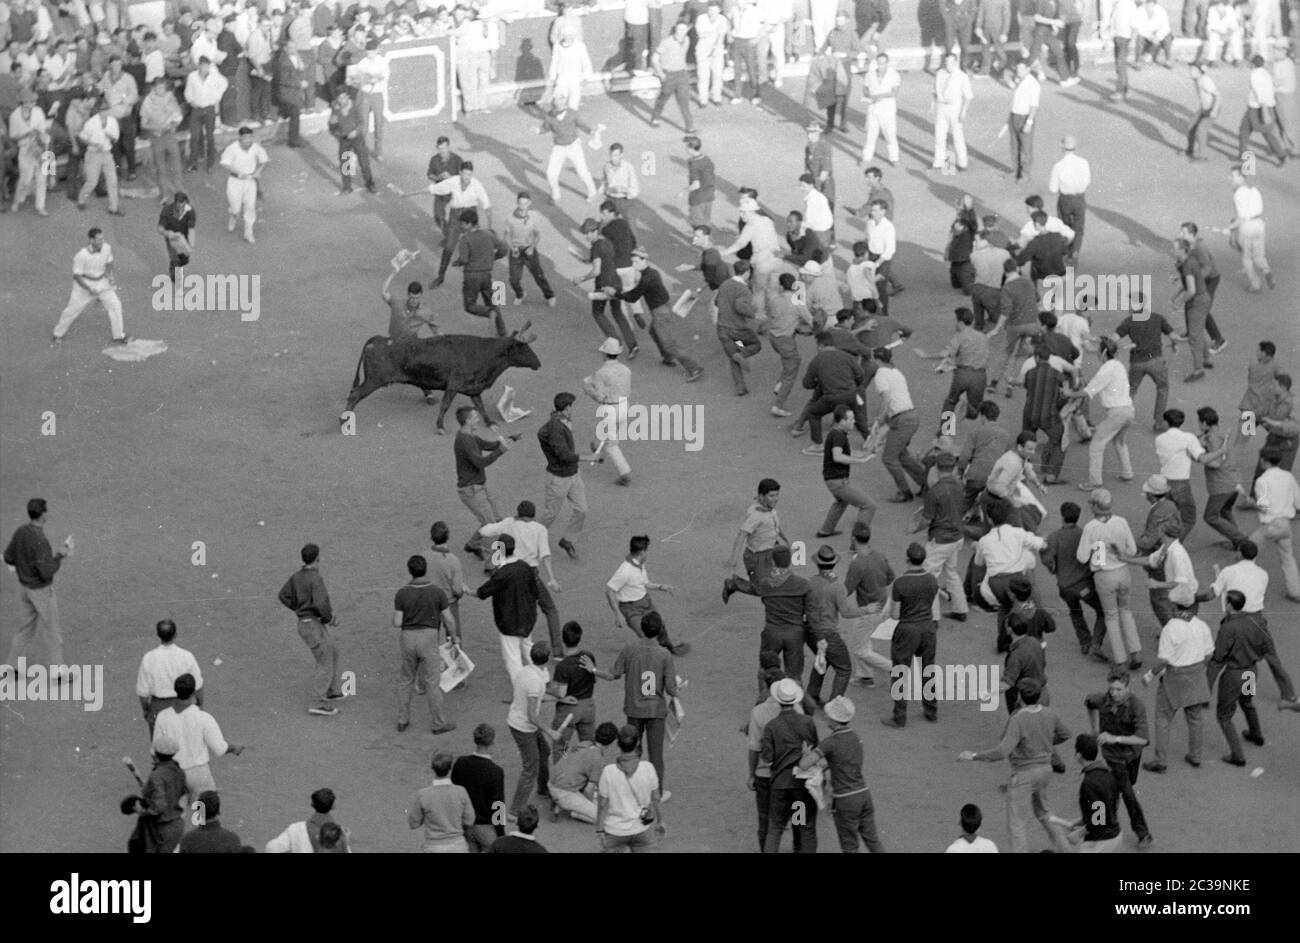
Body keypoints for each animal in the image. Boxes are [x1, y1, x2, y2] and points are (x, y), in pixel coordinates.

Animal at [343, 321, 540, 429]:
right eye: (525, 348)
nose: (539, 363)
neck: (484, 353)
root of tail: (378, 339)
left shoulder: (473, 389)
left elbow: (481, 406)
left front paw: (491, 423)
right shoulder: (453, 385)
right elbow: (445, 405)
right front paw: (440, 425)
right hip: (373, 380)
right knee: (354, 394)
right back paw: (344, 420)